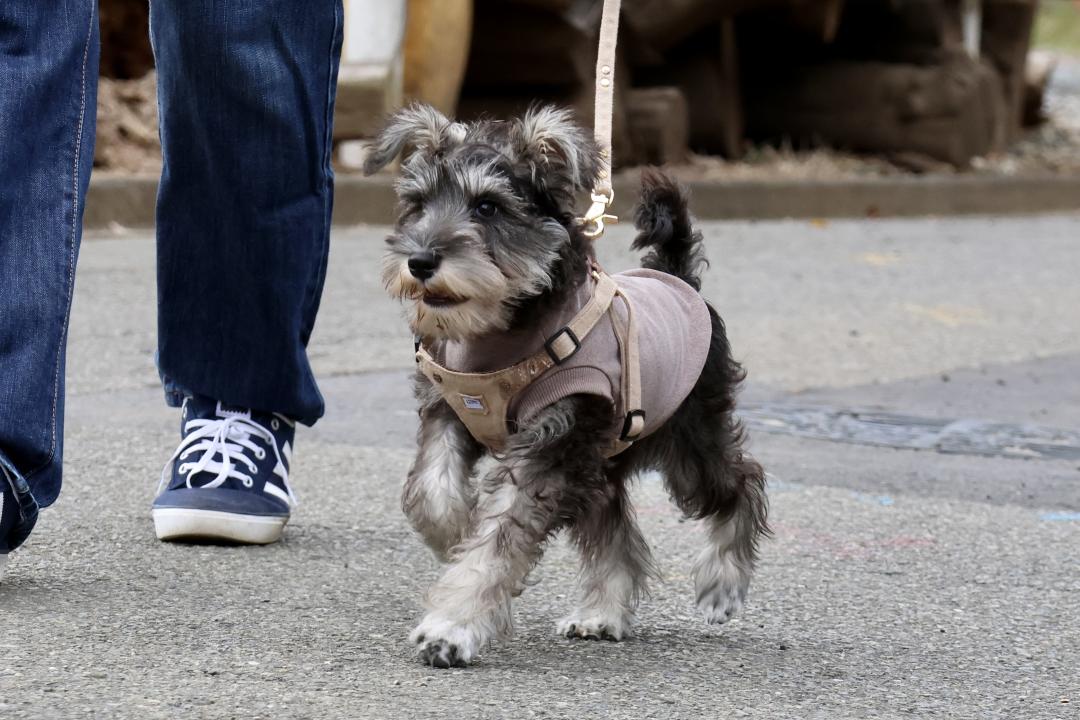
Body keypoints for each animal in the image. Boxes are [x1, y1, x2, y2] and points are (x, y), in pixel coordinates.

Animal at [362, 104, 768, 669]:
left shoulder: (550, 448)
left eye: (488, 206)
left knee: (739, 483)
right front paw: (454, 535)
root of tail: (680, 278)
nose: (420, 262)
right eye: (417, 203)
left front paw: (451, 627)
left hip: (689, 441)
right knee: (615, 531)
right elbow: (431, 492)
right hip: (598, 462)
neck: (503, 333)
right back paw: (601, 615)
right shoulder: (450, 411)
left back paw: (721, 585)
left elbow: (498, 541)